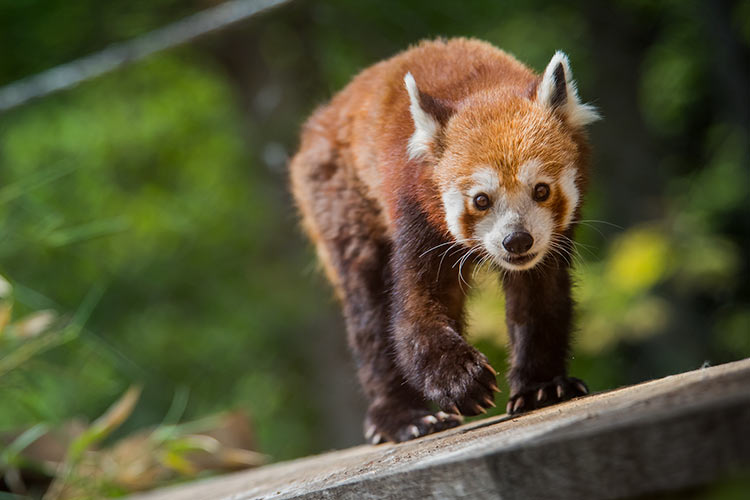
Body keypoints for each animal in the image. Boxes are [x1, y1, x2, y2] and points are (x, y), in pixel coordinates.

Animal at [290, 40, 604, 446]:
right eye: (481, 200)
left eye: (541, 190)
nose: (516, 240)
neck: (482, 87)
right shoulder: (416, 214)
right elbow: (414, 313)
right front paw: (462, 381)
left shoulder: (550, 242)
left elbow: (540, 299)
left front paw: (542, 386)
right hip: (339, 198)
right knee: (369, 311)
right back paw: (401, 417)